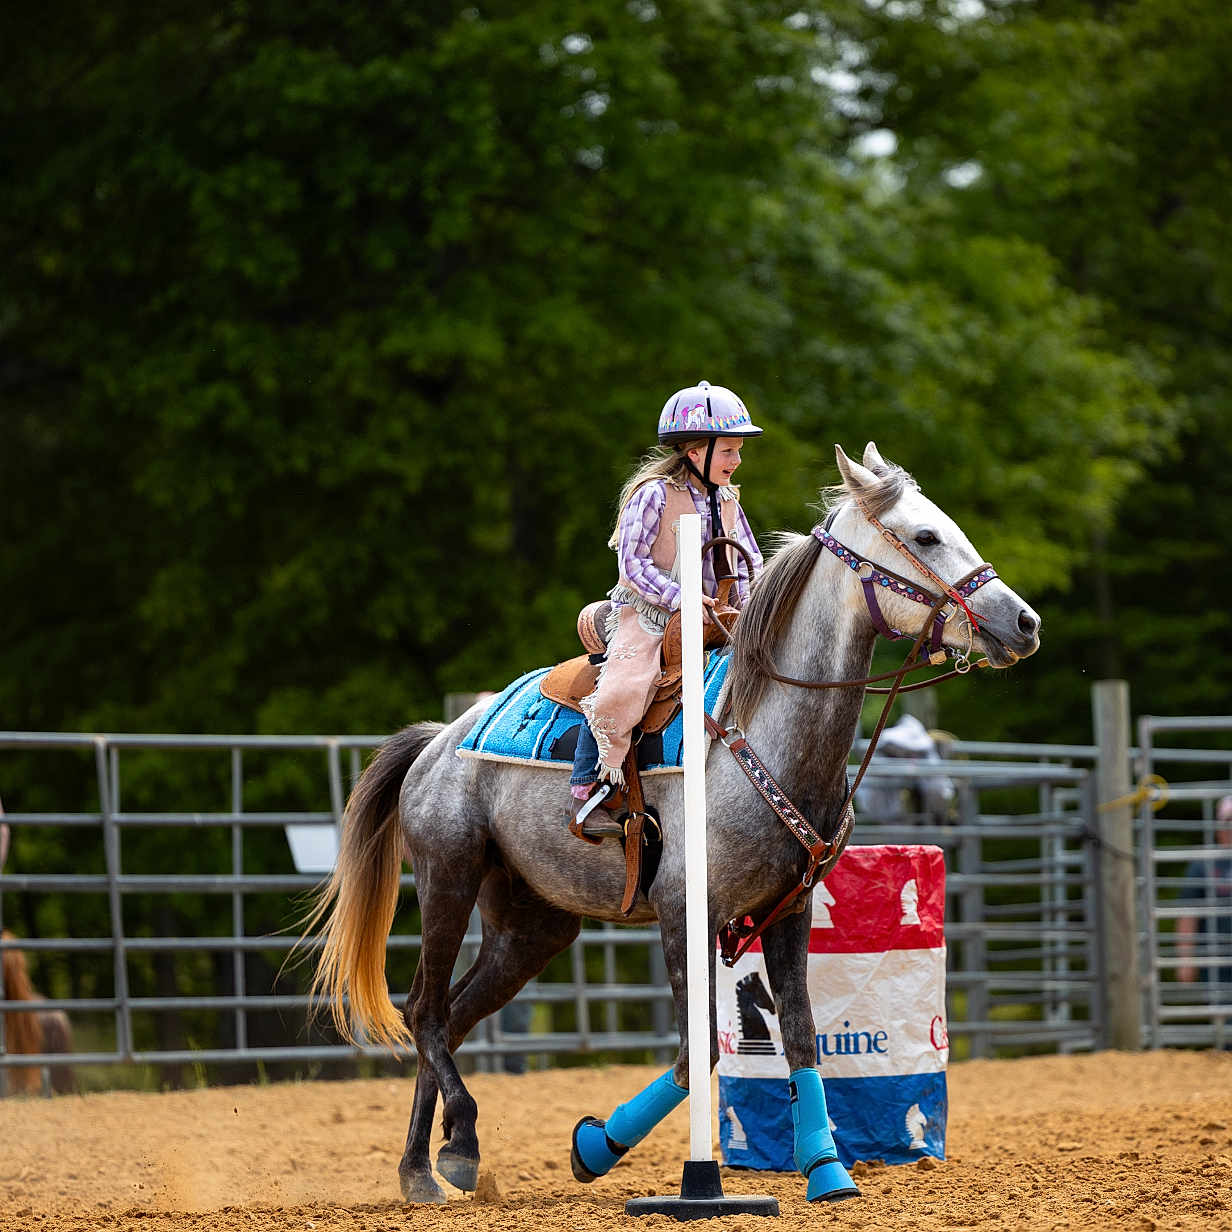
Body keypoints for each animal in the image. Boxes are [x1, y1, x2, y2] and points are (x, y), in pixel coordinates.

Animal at [306, 442, 1040, 1204]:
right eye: (924, 536)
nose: (1023, 623)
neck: (765, 731)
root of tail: (440, 741)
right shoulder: (684, 911)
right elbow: (696, 1056)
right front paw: (595, 1148)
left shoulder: (789, 910)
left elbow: (800, 1034)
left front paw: (827, 1168)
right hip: (448, 877)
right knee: (424, 1009)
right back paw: (452, 1147)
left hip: (531, 926)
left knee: (450, 1017)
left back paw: (427, 1165)